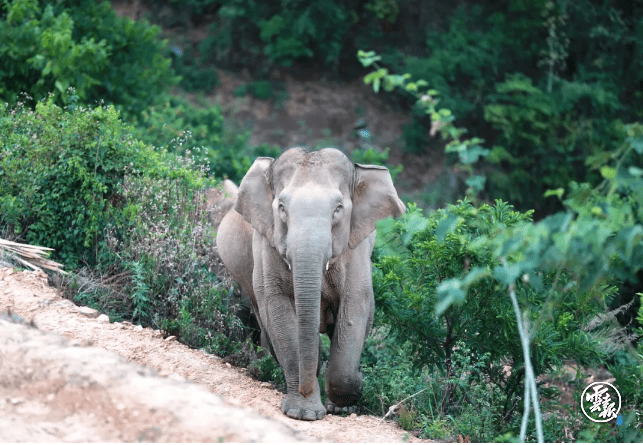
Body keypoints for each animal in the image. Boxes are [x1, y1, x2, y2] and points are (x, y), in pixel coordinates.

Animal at [219, 147, 406, 420]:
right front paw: (304, 413)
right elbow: (278, 310)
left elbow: (353, 307)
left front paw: (345, 401)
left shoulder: (356, 251)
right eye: (282, 207)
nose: (305, 390)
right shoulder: (267, 245)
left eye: (338, 208)